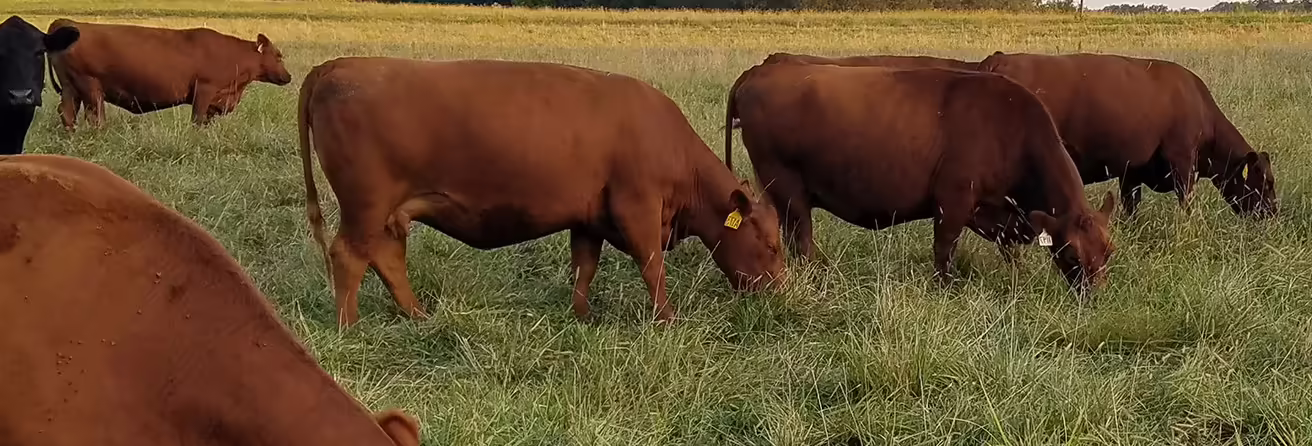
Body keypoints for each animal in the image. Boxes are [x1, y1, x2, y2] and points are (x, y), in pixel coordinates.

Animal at [46, 19, 293, 130]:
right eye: (278, 55)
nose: (288, 77)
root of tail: (68, 22)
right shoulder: (205, 89)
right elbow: (197, 119)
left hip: (71, 88)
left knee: (67, 113)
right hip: (90, 87)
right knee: (95, 117)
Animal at [299, 57, 786, 328]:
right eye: (770, 244)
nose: (781, 293)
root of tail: (338, 64)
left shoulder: (590, 217)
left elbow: (584, 268)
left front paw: (583, 316)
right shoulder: (638, 209)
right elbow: (653, 268)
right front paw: (667, 320)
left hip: (384, 212)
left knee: (386, 258)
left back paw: (417, 316)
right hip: (365, 205)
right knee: (349, 256)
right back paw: (350, 326)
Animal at [725, 63, 1117, 289]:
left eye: (1109, 251)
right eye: (1071, 254)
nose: (1092, 297)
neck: (1012, 129)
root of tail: (766, 66)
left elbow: (1010, 253)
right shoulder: (953, 200)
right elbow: (944, 251)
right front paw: (945, 289)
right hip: (787, 186)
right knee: (802, 239)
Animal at [978, 52, 1277, 219]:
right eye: (1268, 183)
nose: (1273, 215)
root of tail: (998, 59)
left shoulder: (1131, 170)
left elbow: (1131, 208)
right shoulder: (1182, 159)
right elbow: (1186, 203)